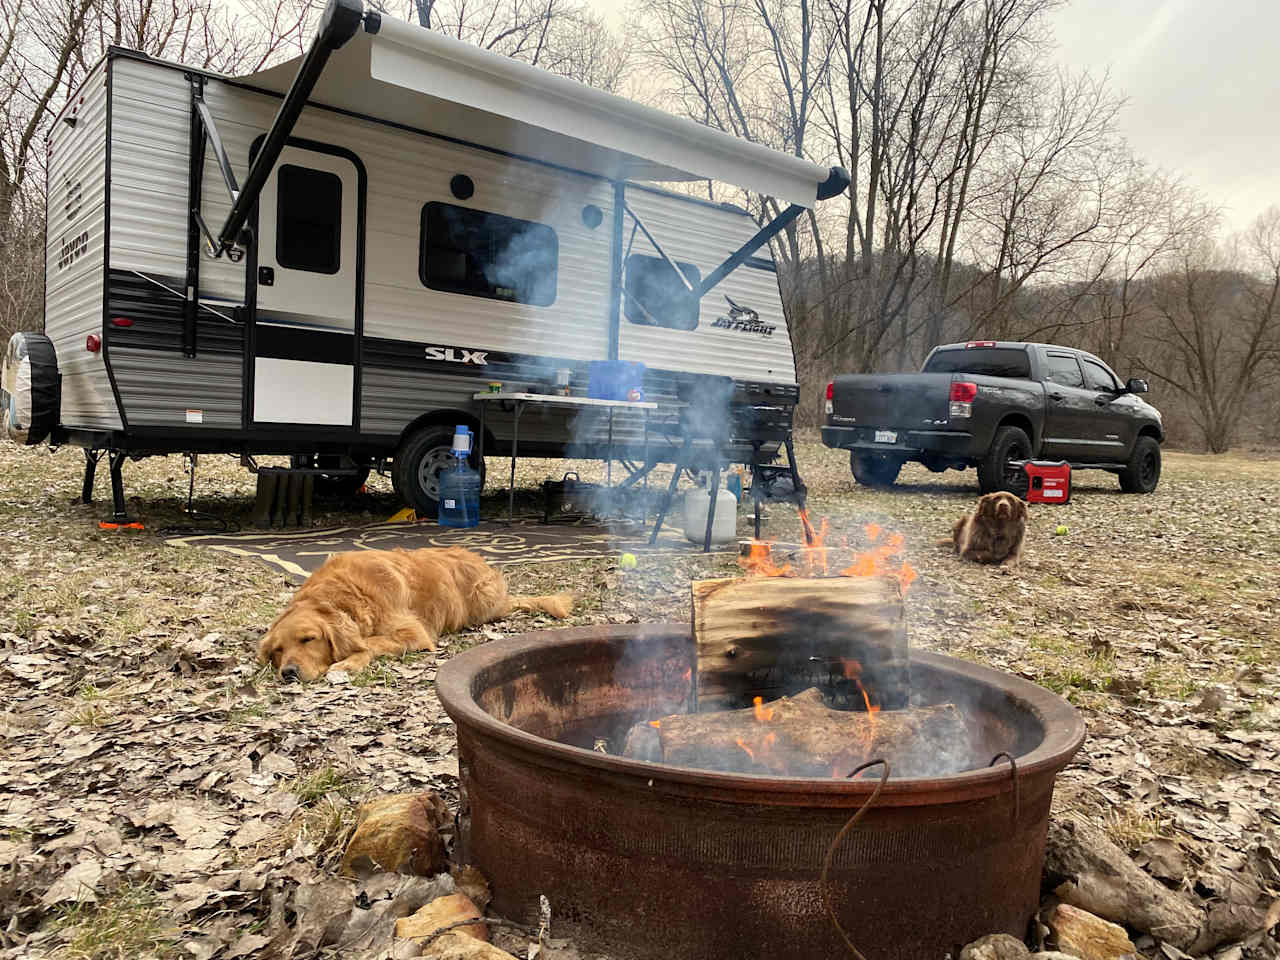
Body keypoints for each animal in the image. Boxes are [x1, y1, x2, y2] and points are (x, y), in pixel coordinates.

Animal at [259, 547, 576, 686]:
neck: (347, 594)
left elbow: (371, 642)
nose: (288, 672)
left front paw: (348, 661)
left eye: (308, 639)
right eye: (278, 650)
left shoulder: (414, 633)